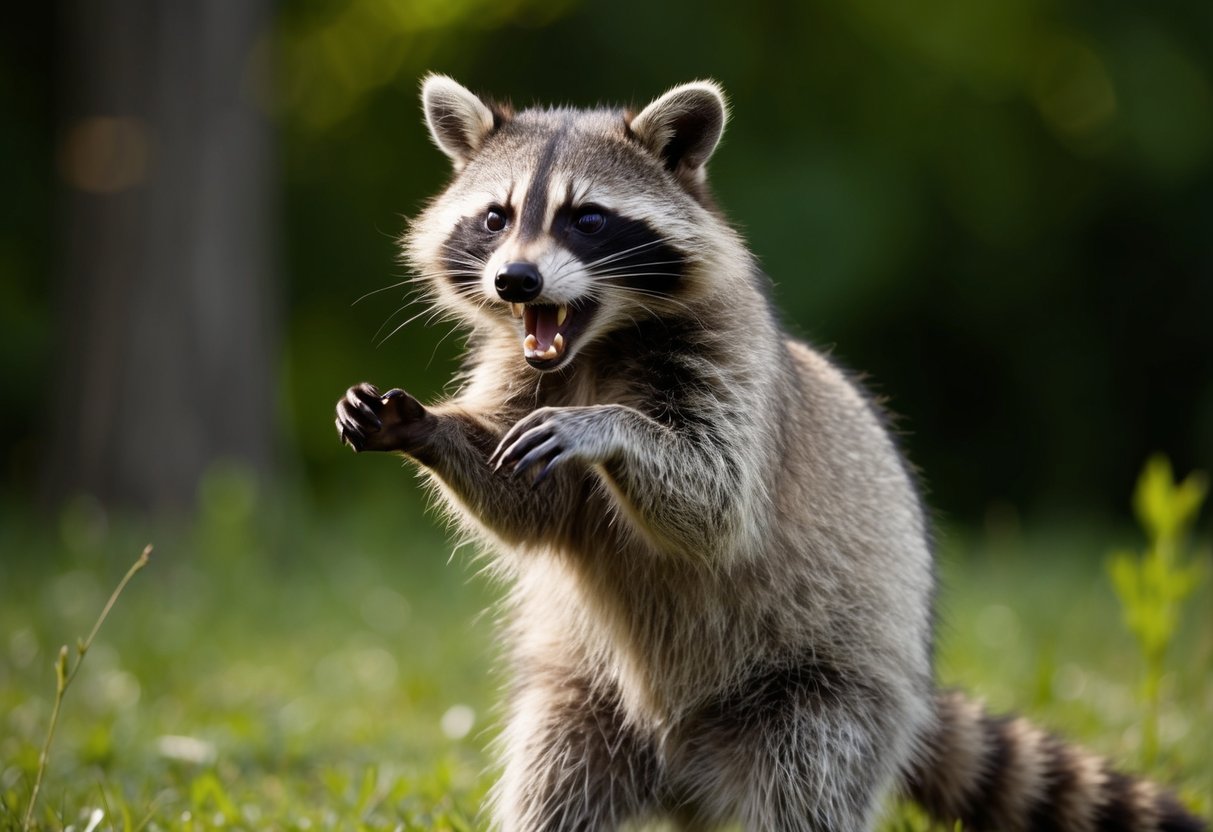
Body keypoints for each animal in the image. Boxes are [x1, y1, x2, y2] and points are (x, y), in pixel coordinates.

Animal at [335, 76, 1205, 832]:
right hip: (585, 698)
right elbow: (529, 505)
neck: (594, 342)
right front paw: (424, 426)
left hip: (828, 693)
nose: (515, 280)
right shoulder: (522, 374)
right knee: (553, 784)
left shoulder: (732, 364)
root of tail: (685, 776)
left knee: (807, 783)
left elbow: (713, 501)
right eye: (495, 216)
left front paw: (607, 426)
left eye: (587, 218)